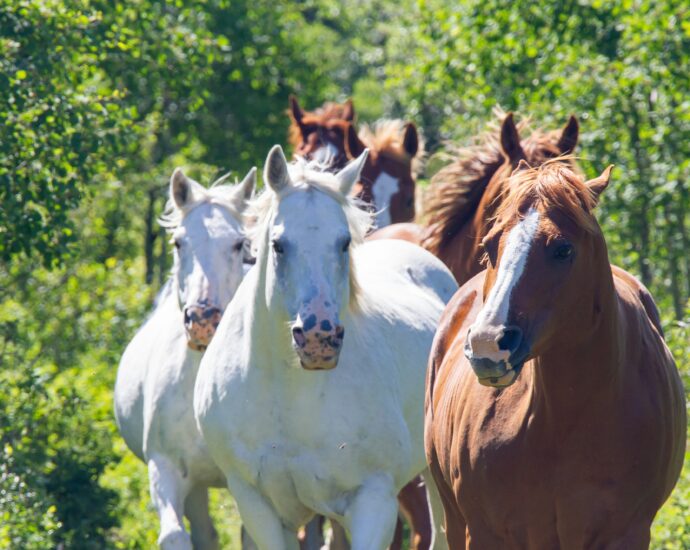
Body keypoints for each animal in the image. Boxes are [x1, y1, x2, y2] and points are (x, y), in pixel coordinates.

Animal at [192, 148, 456, 550]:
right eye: (278, 245)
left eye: (344, 242)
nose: (319, 338)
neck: (291, 393)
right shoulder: (258, 507)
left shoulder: (373, 502)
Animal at [424, 162, 684, 548]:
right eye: (489, 245)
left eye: (563, 249)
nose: (488, 343)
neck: (564, 421)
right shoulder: (485, 532)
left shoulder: (626, 532)